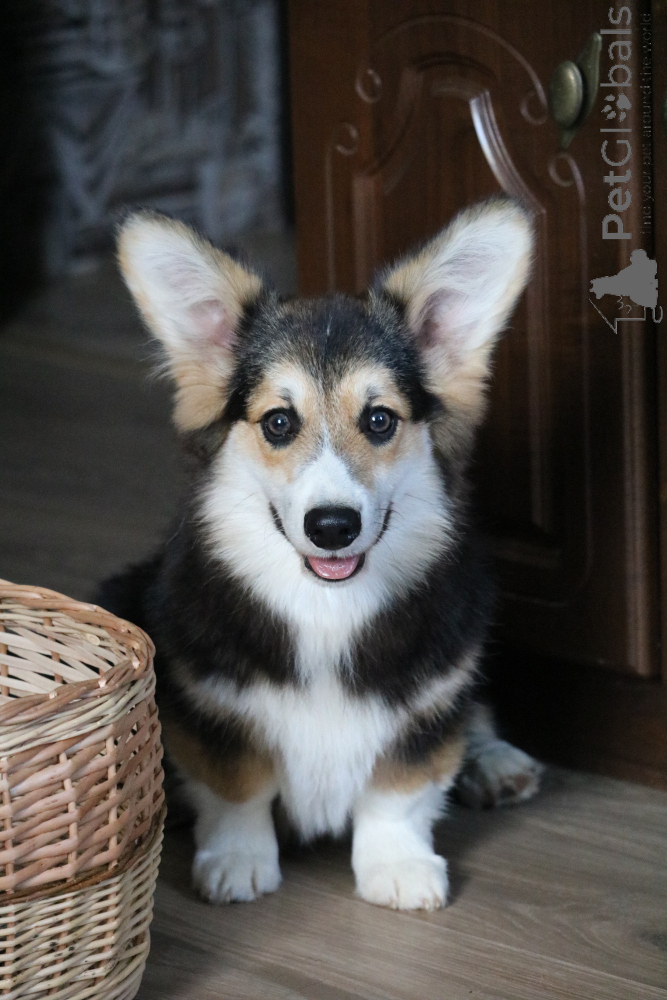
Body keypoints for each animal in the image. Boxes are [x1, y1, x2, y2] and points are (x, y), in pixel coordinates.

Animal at [99, 197, 542, 911]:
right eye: (279, 423)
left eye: (380, 420)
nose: (332, 526)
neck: (326, 605)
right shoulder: (212, 703)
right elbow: (237, 787)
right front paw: (238, 863)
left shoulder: (426, 695)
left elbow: (400, 788)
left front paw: (398, 866)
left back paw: (497, 761)